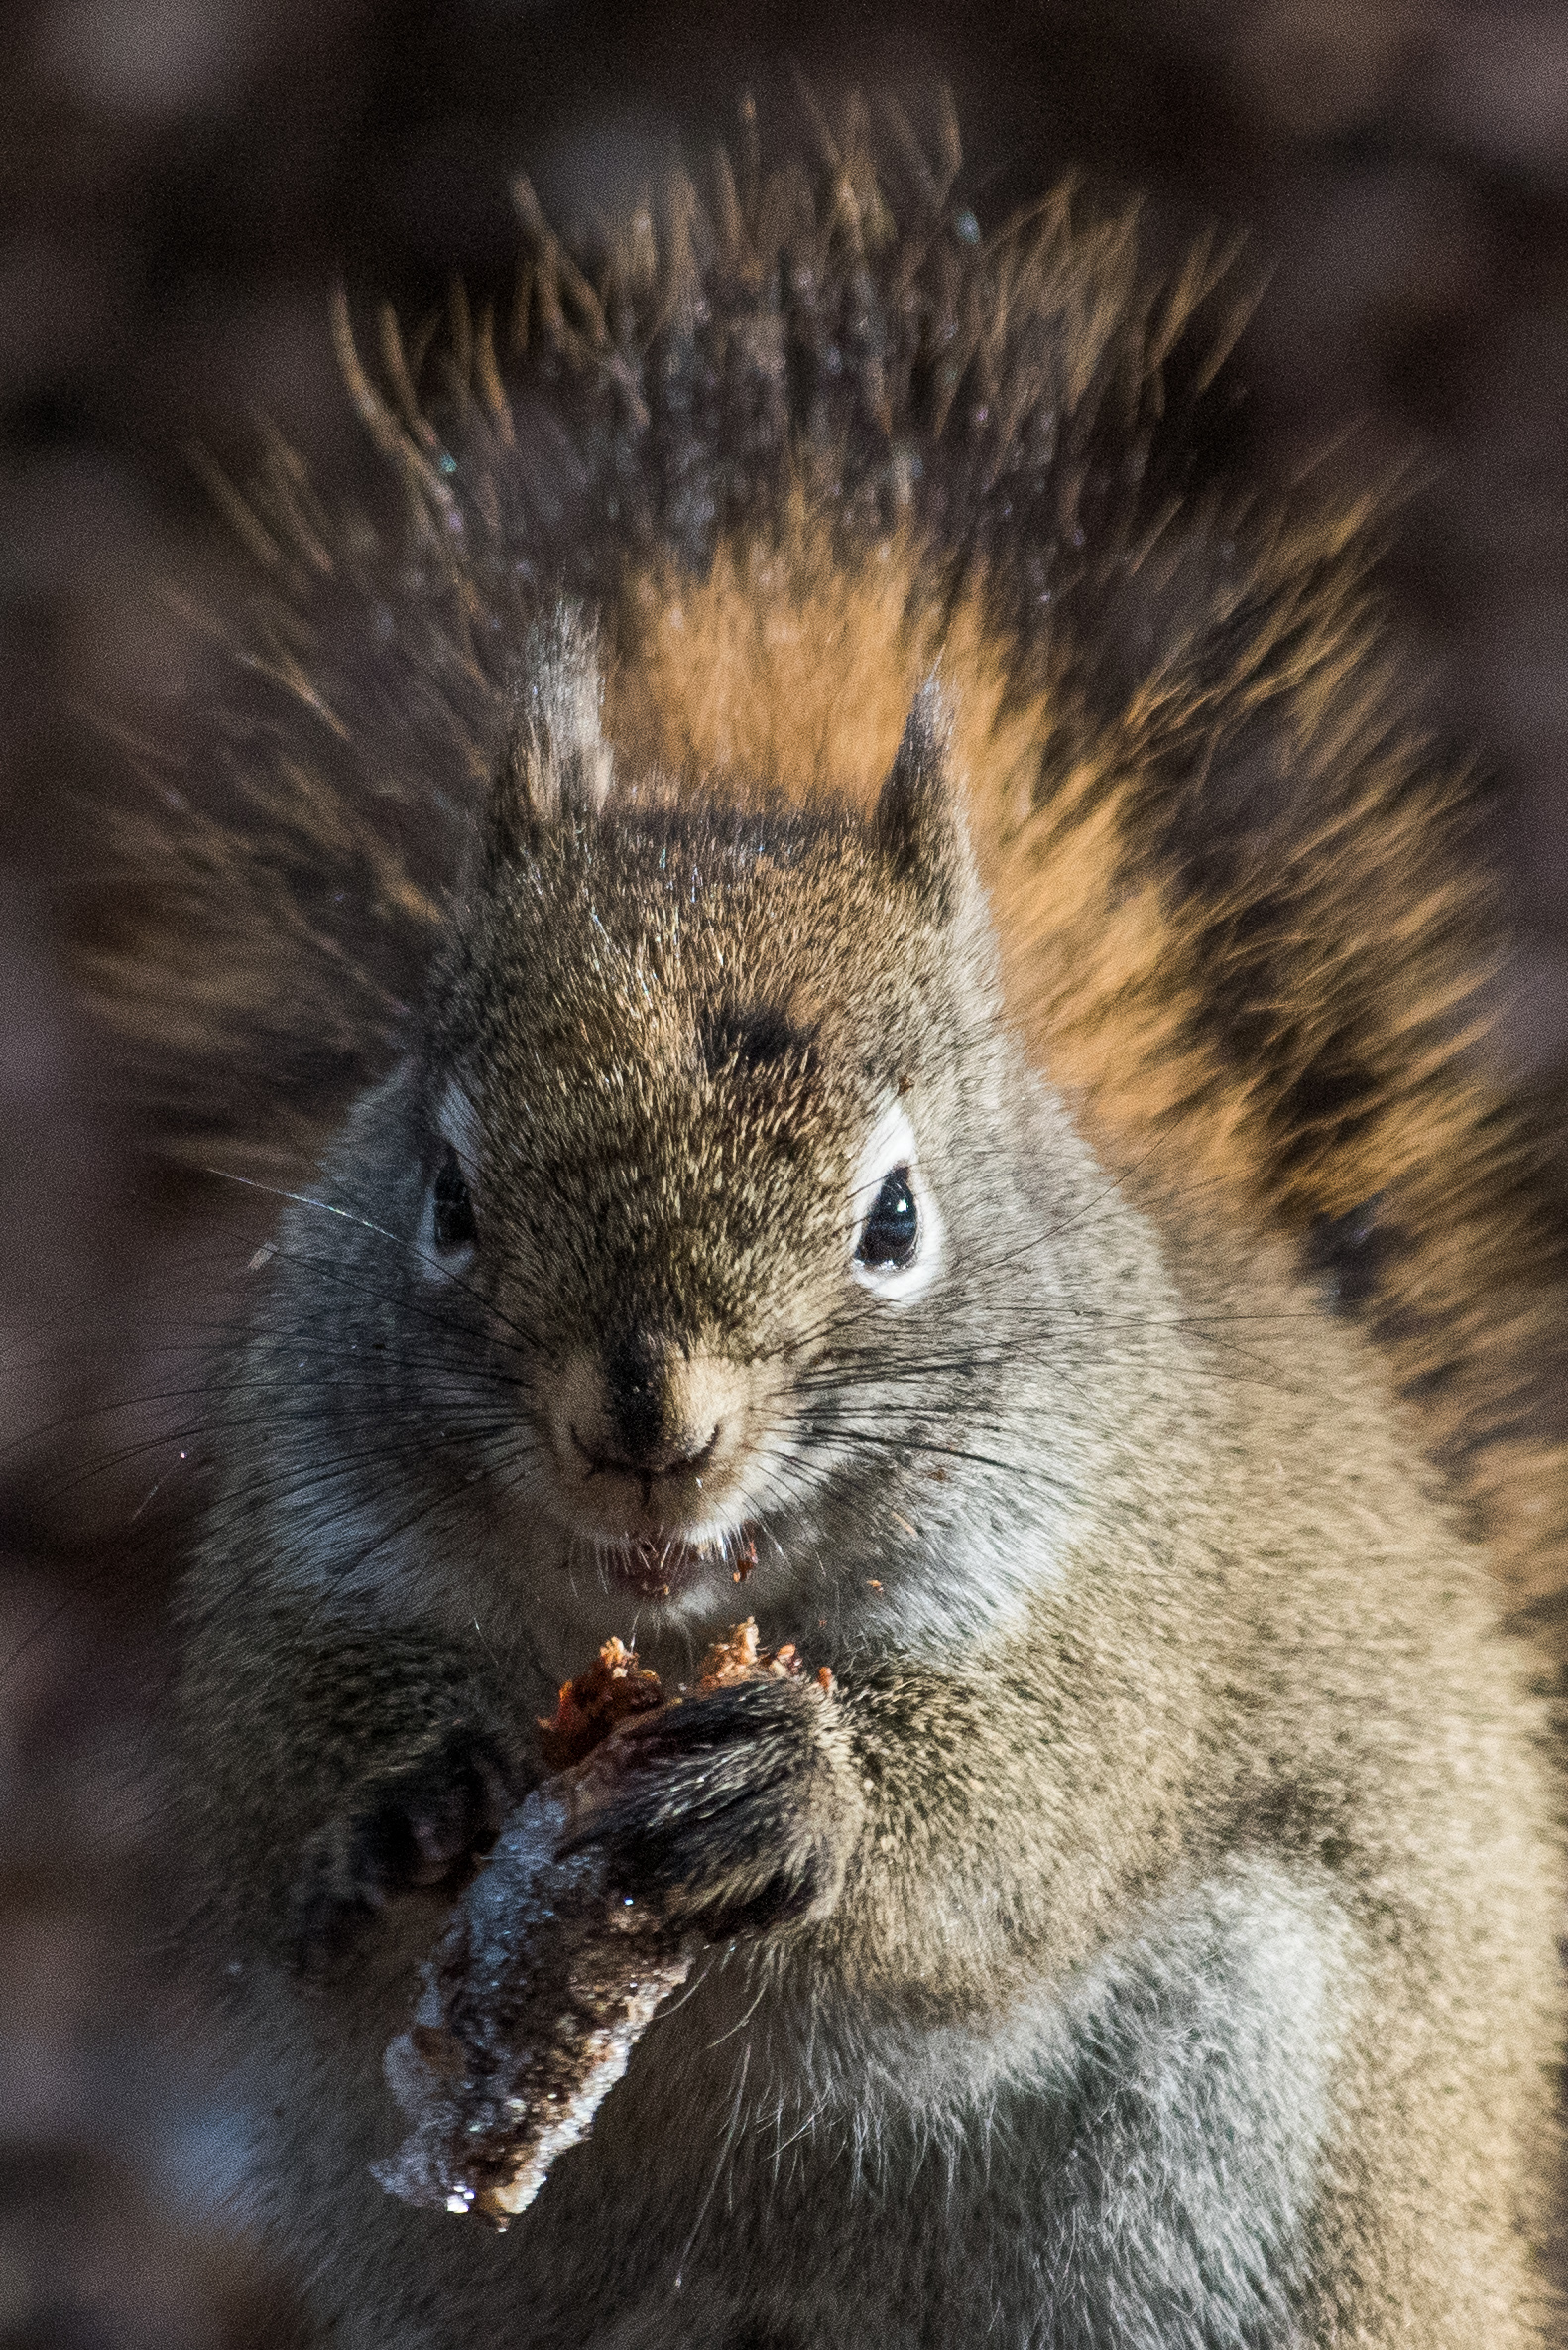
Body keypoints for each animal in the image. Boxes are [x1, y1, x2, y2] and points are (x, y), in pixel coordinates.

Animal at [106, 94, 1568, 2350]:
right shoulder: (294, 1547)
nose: (647, 1419)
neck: (663, 1617)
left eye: (895, 1214)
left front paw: (801, 1790)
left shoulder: (1117, 1565)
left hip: (1276, 2161)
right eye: (443, 1191)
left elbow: (1021, 1797)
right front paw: (409, 1795)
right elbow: (271, 1797)